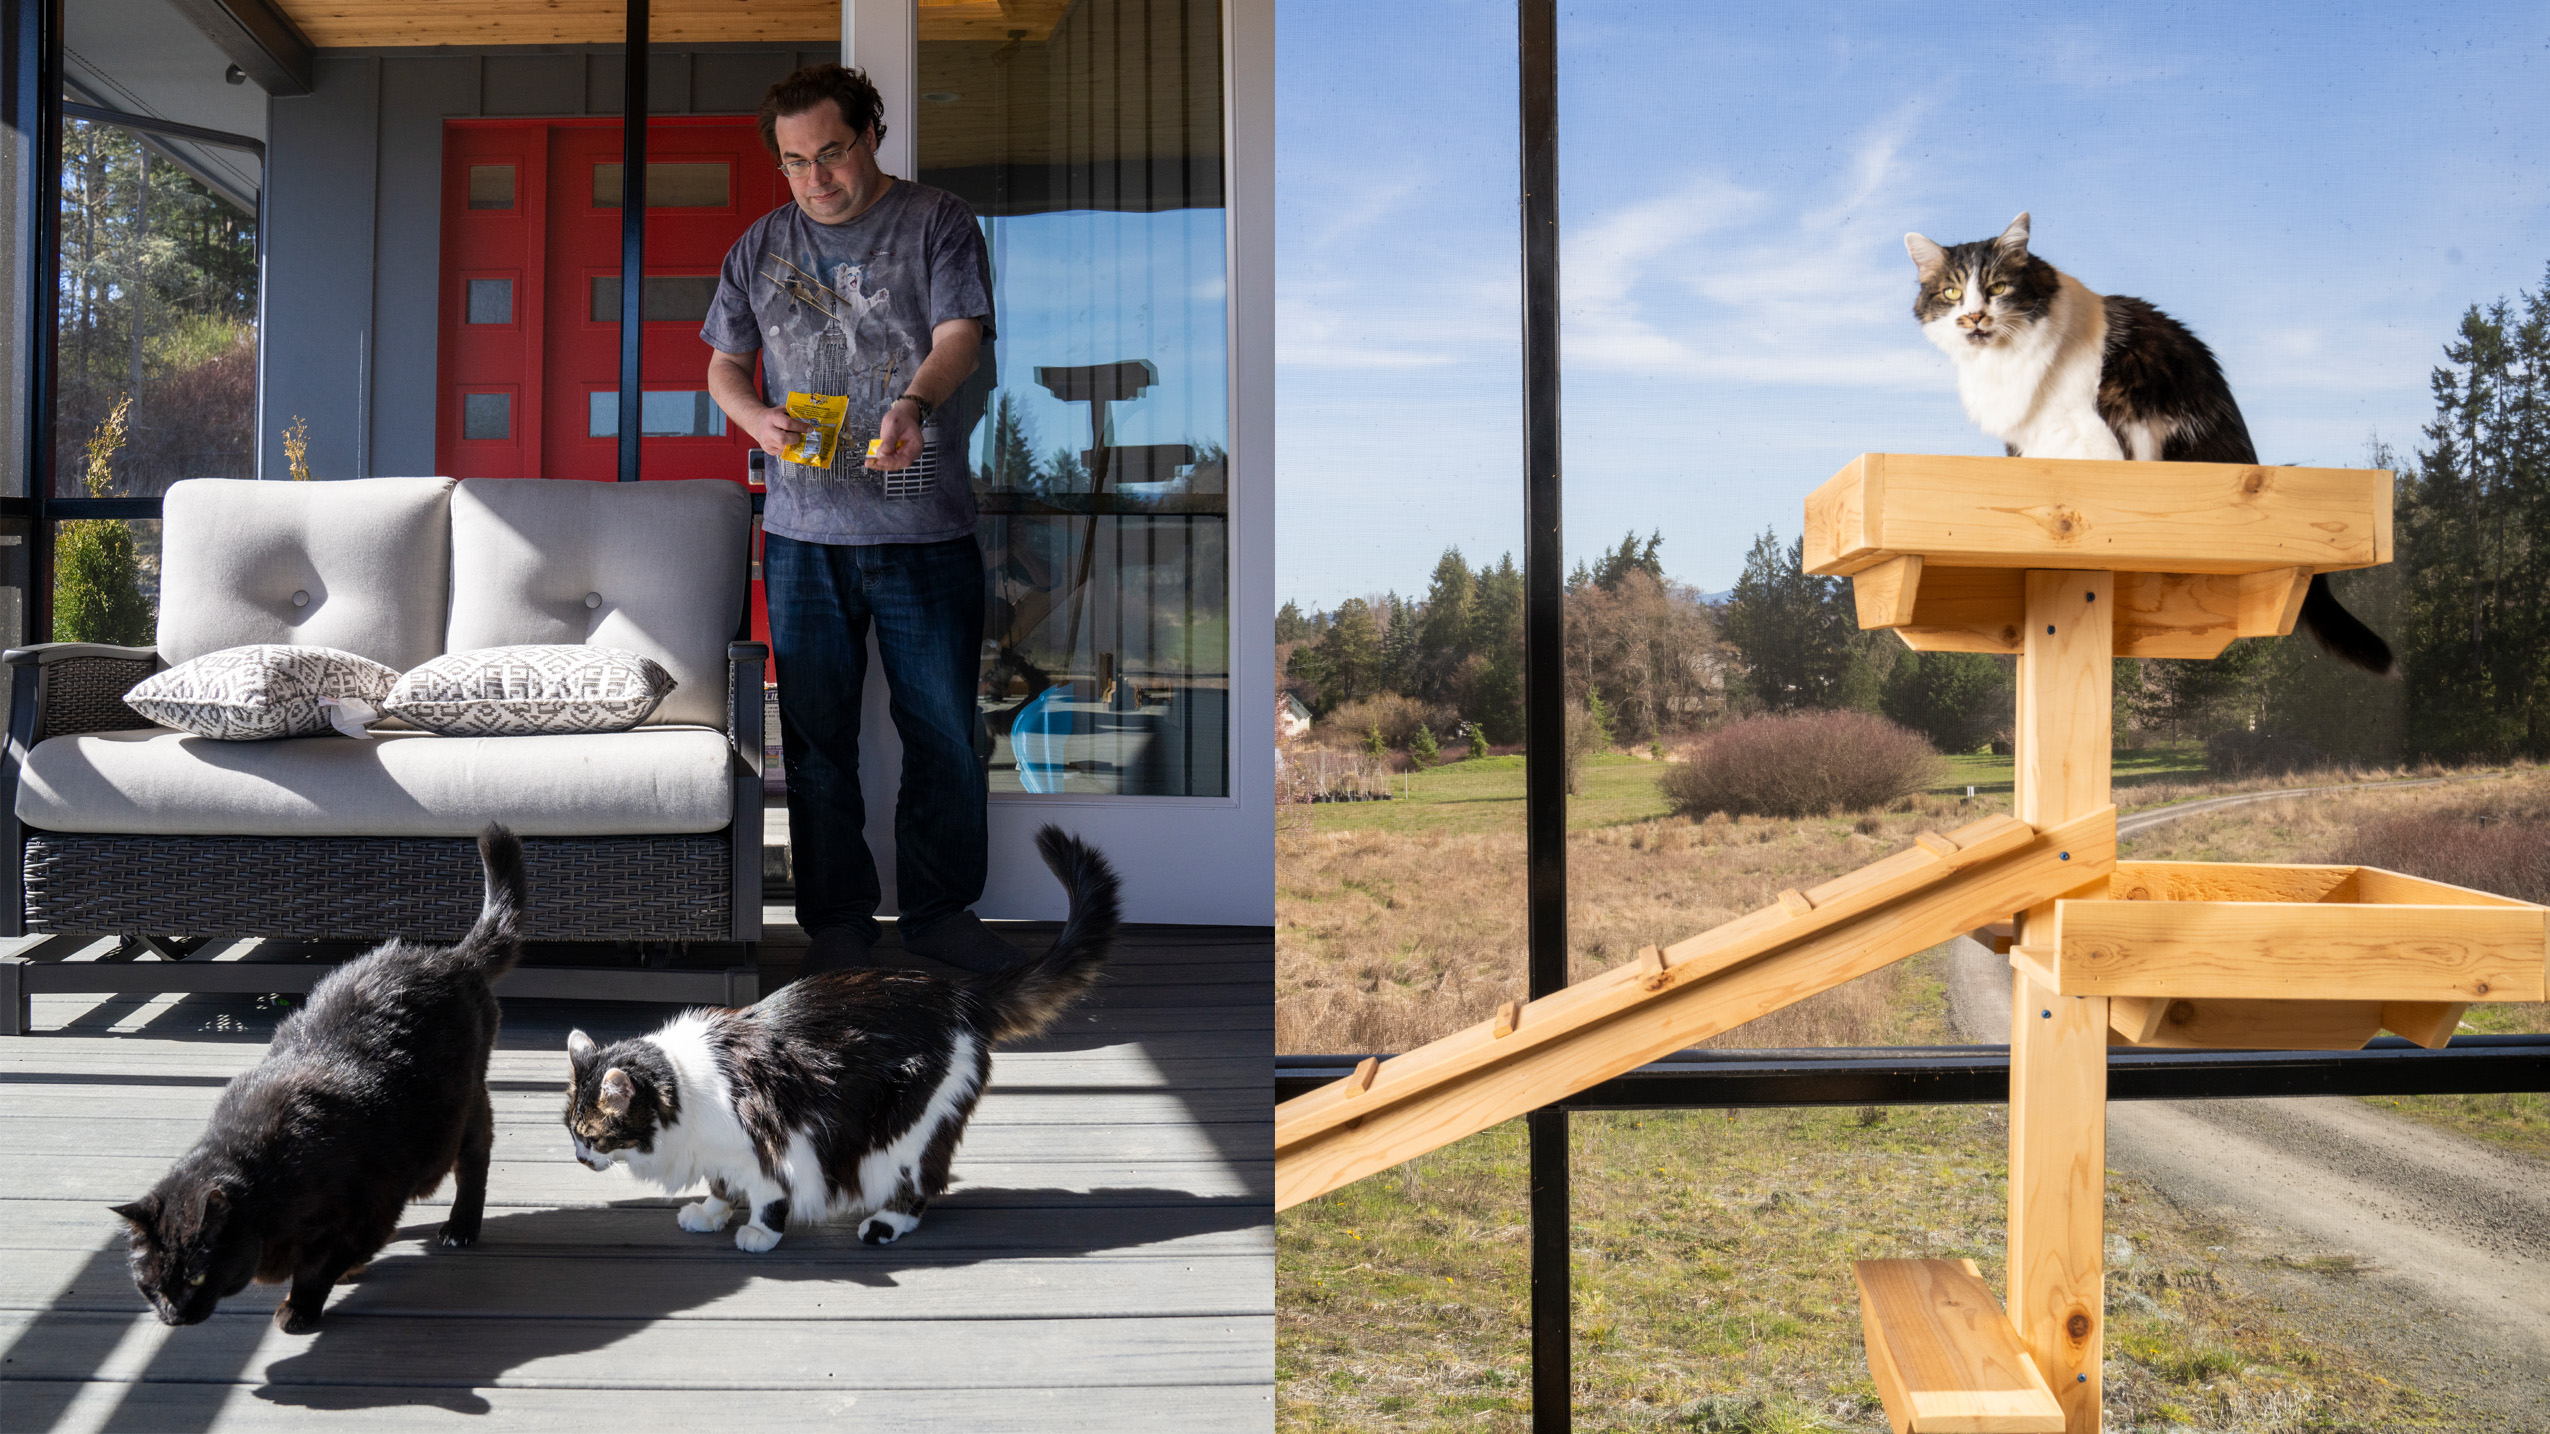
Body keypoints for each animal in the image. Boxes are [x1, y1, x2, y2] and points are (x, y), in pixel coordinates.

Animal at [112, 821, 525, 1337]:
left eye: (197, 1275)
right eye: (150, 1283)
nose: (173, 1314)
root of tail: (450, 958)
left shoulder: (368, 1213)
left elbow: (317, 1268)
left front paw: (300, 1308)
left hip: (462, 1110)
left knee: (476, 1158)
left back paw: (461, 1227)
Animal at [563, 821, 1122, 1245]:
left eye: (591, 1134)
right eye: (571, 1132)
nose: (578, 1158)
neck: (683, 1089)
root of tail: (958, 992)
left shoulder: (772, 1143)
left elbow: (767, 1195)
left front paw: (760, 1234)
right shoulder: (724, 1153)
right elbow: (723, 1186)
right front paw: (709, 1214)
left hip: (906, 1128)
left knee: (921, 1185)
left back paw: (883, 1225)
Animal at [1907, 211, 2397, 673]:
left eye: (1997, 287)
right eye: (1951, 293)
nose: (1974, 316)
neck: (2001, 363)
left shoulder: (2090, 428)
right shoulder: (2026, 438)